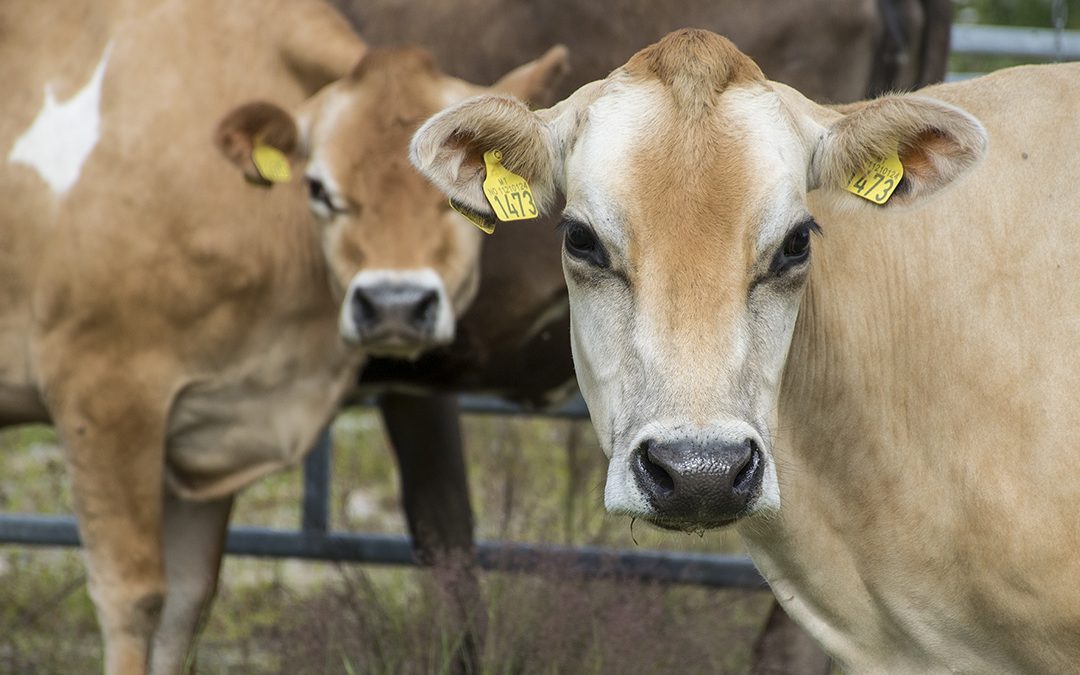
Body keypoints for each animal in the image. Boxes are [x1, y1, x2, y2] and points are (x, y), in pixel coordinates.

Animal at [0, 2, 570, 669]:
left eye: (459, 192)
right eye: (318, 188)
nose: (395, 304)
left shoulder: (206, 427)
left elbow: (184, 604)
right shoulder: (102, 393)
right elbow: (133, 599)